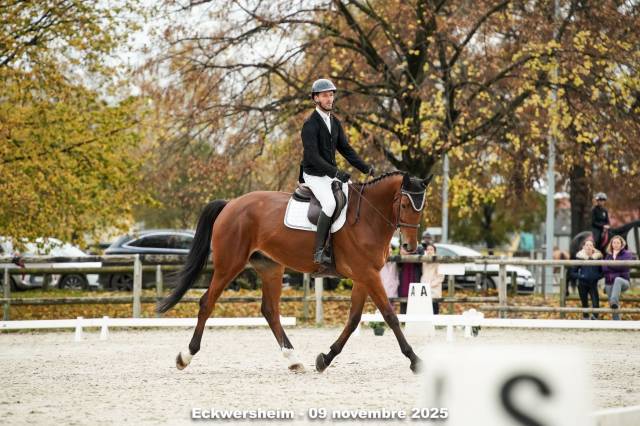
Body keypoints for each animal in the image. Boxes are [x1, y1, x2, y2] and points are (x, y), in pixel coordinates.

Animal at [157, 171, 432, 373]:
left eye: (422, 206)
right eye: (404, 203)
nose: (410, 247)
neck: (367, 217)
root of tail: (230, 204)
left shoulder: (364, 276)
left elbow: (354, 320)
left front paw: (325, 358)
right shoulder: (368, 274)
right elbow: (390, 316)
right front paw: (414, 359)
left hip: (270, 268)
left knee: (270, 310)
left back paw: (293, 359)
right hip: (229, 265)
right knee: (207, 302)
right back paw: (185, 356)